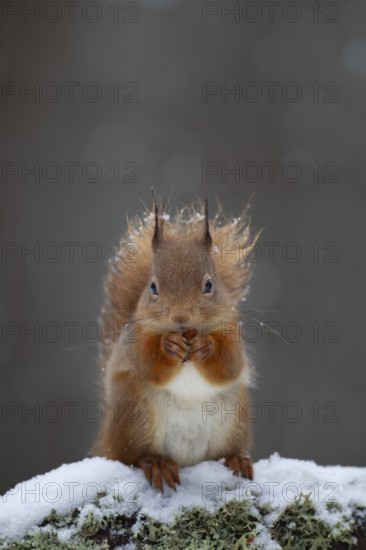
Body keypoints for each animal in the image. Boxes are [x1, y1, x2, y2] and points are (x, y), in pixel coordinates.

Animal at [93, 197, 256, 492]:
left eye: (209, 284)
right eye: (153, 287)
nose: (180, 317)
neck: (187, 334)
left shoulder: (232, 334)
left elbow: (230, 366)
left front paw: (206, 345)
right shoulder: (137, 340)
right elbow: (149, 365)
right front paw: (168, 345)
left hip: (234, 418)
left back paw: (236, 460)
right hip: (136, 413)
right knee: (133, 457)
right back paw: (156, 463)